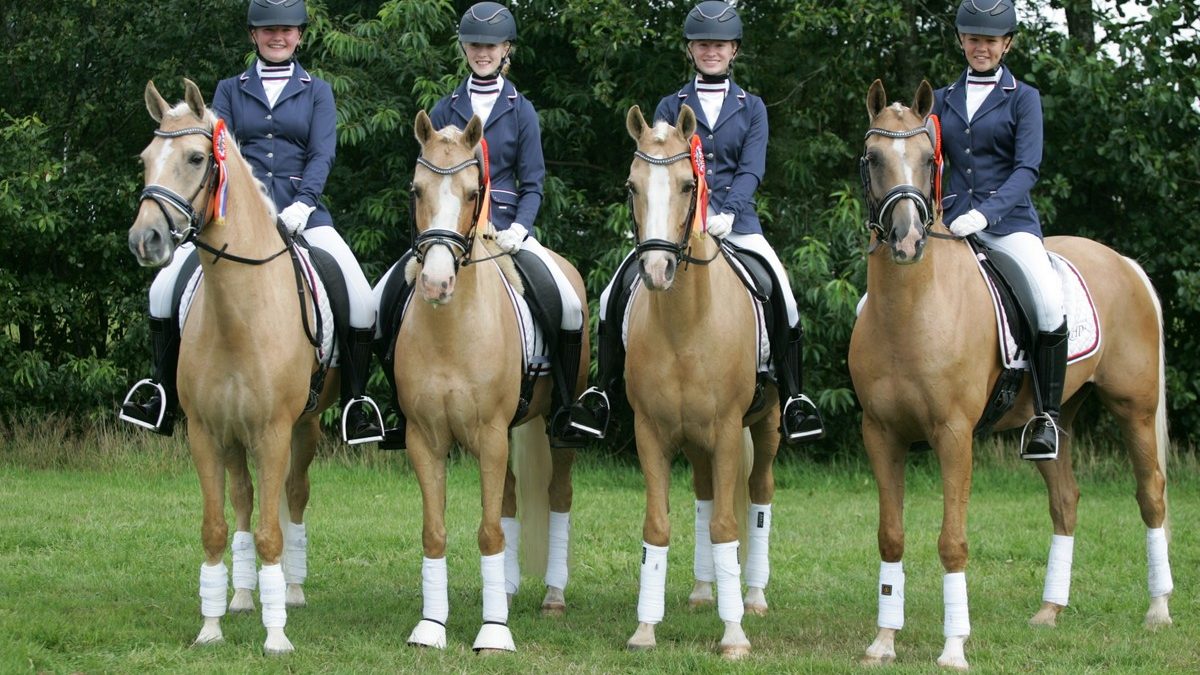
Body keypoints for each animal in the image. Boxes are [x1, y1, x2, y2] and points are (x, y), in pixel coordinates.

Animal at [129, 79, 336, 653]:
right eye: (145, 159)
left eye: (197, 158)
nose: (145, 240)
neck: (238, 312)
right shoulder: (204, 432)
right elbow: (217, 527)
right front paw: (211, 626)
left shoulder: (273, 431)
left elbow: (271, 530)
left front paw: (277, 636)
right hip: (232, 437)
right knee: (243, 499)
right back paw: (243, 595)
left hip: (303, 428)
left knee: (293, 496)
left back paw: (290, 591)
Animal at [398, 110, 585, 653]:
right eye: (416, 190)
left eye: (470, 193)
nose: (436, 282)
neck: (450, 333)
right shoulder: (426, 440)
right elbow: (436, 531)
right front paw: (431, 626)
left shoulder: (489, 435)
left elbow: (487, 532)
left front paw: (494, 632)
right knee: (508, 498)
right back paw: (505, 586)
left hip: (554, 432)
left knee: (558, 497)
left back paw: (552, 597)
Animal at [619, 105, 777, 658]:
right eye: (632, 185)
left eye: (690, 184)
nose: (658, 269)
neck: (685, 325)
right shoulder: (650, 433)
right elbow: (658, 524)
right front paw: (645, 628)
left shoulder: (729, 430)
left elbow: (730, 524)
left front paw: (734, 636)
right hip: (697, 440)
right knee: (707, 496)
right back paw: (704, 591)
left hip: (765, 427)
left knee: (758, 495)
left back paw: (752, 598)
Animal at [854, 79, 1171, 667]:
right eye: (873, 158)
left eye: (928, 158)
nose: (907, 241)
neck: (910, 309)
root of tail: (1122, 262)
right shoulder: (880, 433)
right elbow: (891, 535)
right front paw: (883, 641)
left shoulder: (953, 435)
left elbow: (952, 542)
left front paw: (954, 647)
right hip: (1053, 417)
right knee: (1065, 501)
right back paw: (1050, 611)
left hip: (1134, 409)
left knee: (1151, 495)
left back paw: (1158, 609)